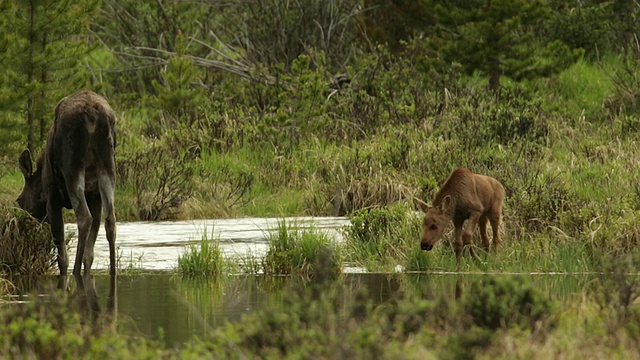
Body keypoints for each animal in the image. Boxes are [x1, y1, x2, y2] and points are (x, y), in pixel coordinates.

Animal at [17, 90, 117, 276]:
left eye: (19, 201)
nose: (24, 226)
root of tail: (94, 116)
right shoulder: (94, 196)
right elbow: (89, 254)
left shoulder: (52, 197)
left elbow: (62, 256)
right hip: (107, 165)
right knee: (110, 220)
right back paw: (113, 271)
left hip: (72, 167)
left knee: (84, 217)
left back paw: (75, 272)